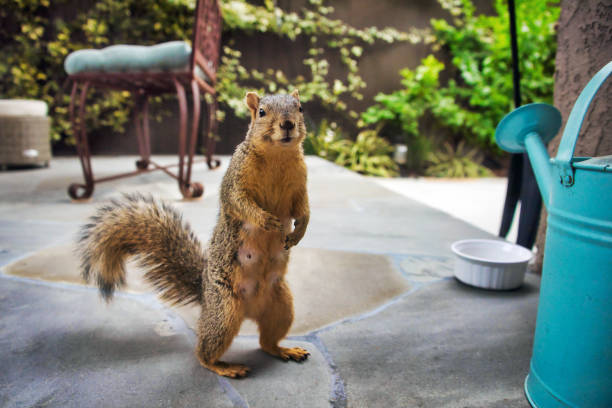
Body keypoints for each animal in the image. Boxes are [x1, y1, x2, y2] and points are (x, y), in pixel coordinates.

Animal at [80, 91, 310, 378]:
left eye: (300, 108)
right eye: (262, 112)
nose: (288, 124)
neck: (278, 156)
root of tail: (205, 293)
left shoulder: (300, 184)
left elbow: (303, 209)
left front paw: (299, 231)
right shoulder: (235, 180)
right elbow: (239, 202)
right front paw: (265, 219)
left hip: (281, 305)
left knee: (266, 341)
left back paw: (284, 350)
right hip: (224, 311)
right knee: (204, 352)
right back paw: (224, 367)